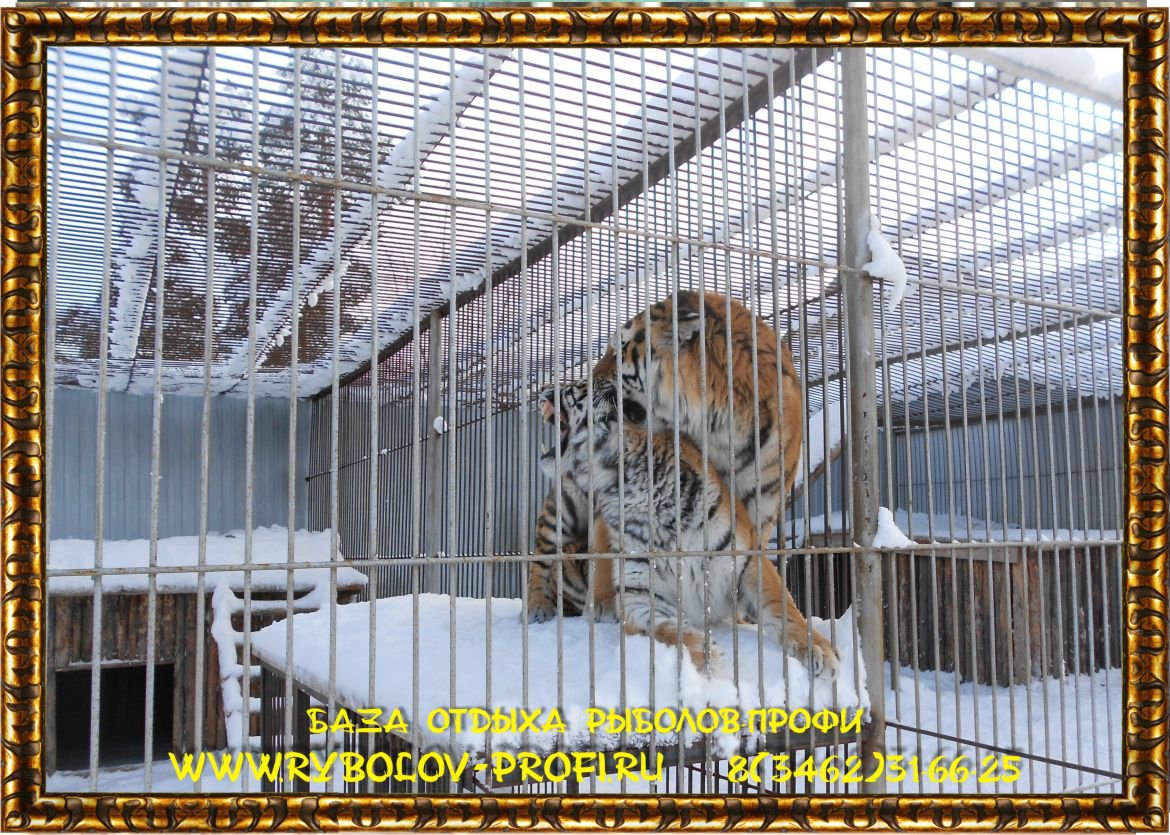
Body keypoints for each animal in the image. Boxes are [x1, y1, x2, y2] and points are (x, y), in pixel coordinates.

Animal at [527, 290, 803, 626]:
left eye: (619, 350)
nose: (580, 384)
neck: (716, 430)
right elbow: (607, 551)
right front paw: (607, 603)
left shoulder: (758, 506)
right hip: (564, 505)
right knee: (542, 553)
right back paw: (538, 606)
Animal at [537, 375, 838, 679]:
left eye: (575, 387)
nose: (542, 388)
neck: (621, 483)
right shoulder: (641, 596)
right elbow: (667, 629)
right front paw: (708, 658)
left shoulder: (745, 559)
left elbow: (783, 608)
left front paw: (820, 650)